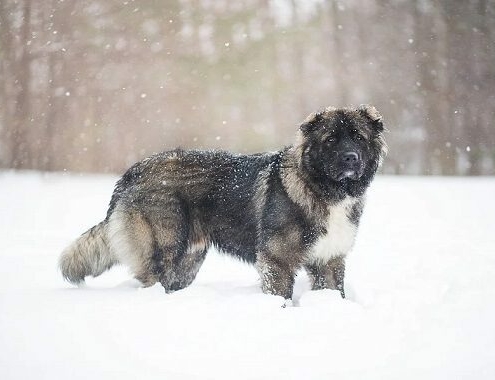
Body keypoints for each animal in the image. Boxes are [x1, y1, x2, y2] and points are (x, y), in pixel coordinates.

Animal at [60, 105, 388, 302]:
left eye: (358, 137)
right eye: (331, 139)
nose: (351, 158)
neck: (323, 188)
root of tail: (132, 172)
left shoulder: (329, 260)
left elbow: (335, 291)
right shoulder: (277, 260)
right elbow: (281, 296)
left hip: (190, 260)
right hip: (164, 249)